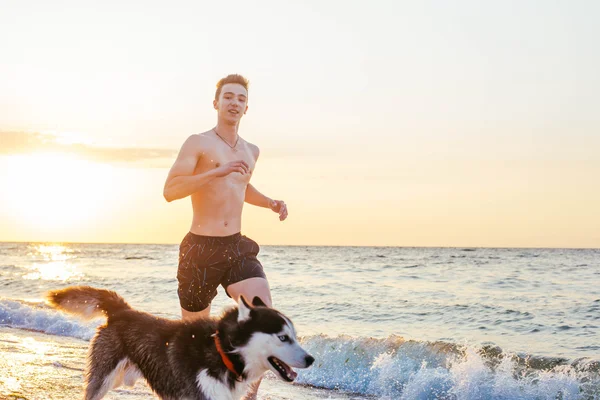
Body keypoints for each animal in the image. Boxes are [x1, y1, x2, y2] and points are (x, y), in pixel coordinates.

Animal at [47, 286, 314, 398]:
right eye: (283, 337)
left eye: (295, 335)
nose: (311, 359)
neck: (223, 352)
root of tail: (122, 311)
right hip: (103, 379)